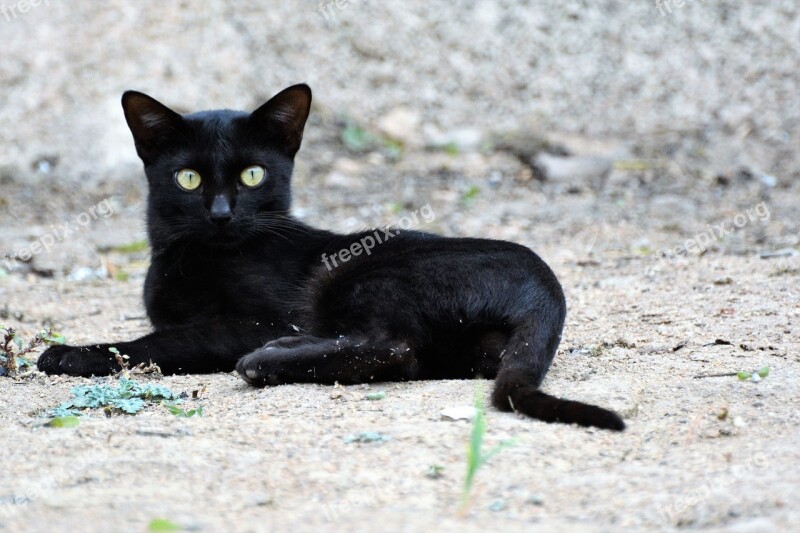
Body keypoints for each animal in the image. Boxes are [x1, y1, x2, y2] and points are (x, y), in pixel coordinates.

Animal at [37, 84, 624, 432]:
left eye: (253, 174)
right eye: (188, 178)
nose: (222, 213)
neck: (196, 257)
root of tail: (547, 287)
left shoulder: (257, 319)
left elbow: (161, 341)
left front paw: (71, 353)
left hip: (360, 272)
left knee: (394, 349)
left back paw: (266, 361)